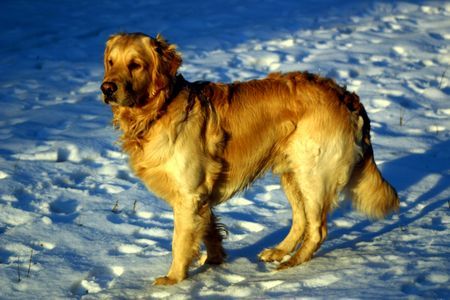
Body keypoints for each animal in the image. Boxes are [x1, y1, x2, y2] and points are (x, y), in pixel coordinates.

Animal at [100, 32, 400, 286]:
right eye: (111, 62)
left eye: (135, 65)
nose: (106, 88)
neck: (159, 109)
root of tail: (347, 96)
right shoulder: (202, 194)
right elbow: (209, 230)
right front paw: (214, 261)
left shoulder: (189, 194)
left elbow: (180, 242)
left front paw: (173, 280)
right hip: (292, 173)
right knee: (301, 220)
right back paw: (279, 251)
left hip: (313, 173)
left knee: (317, 229)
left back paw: (292, 265)